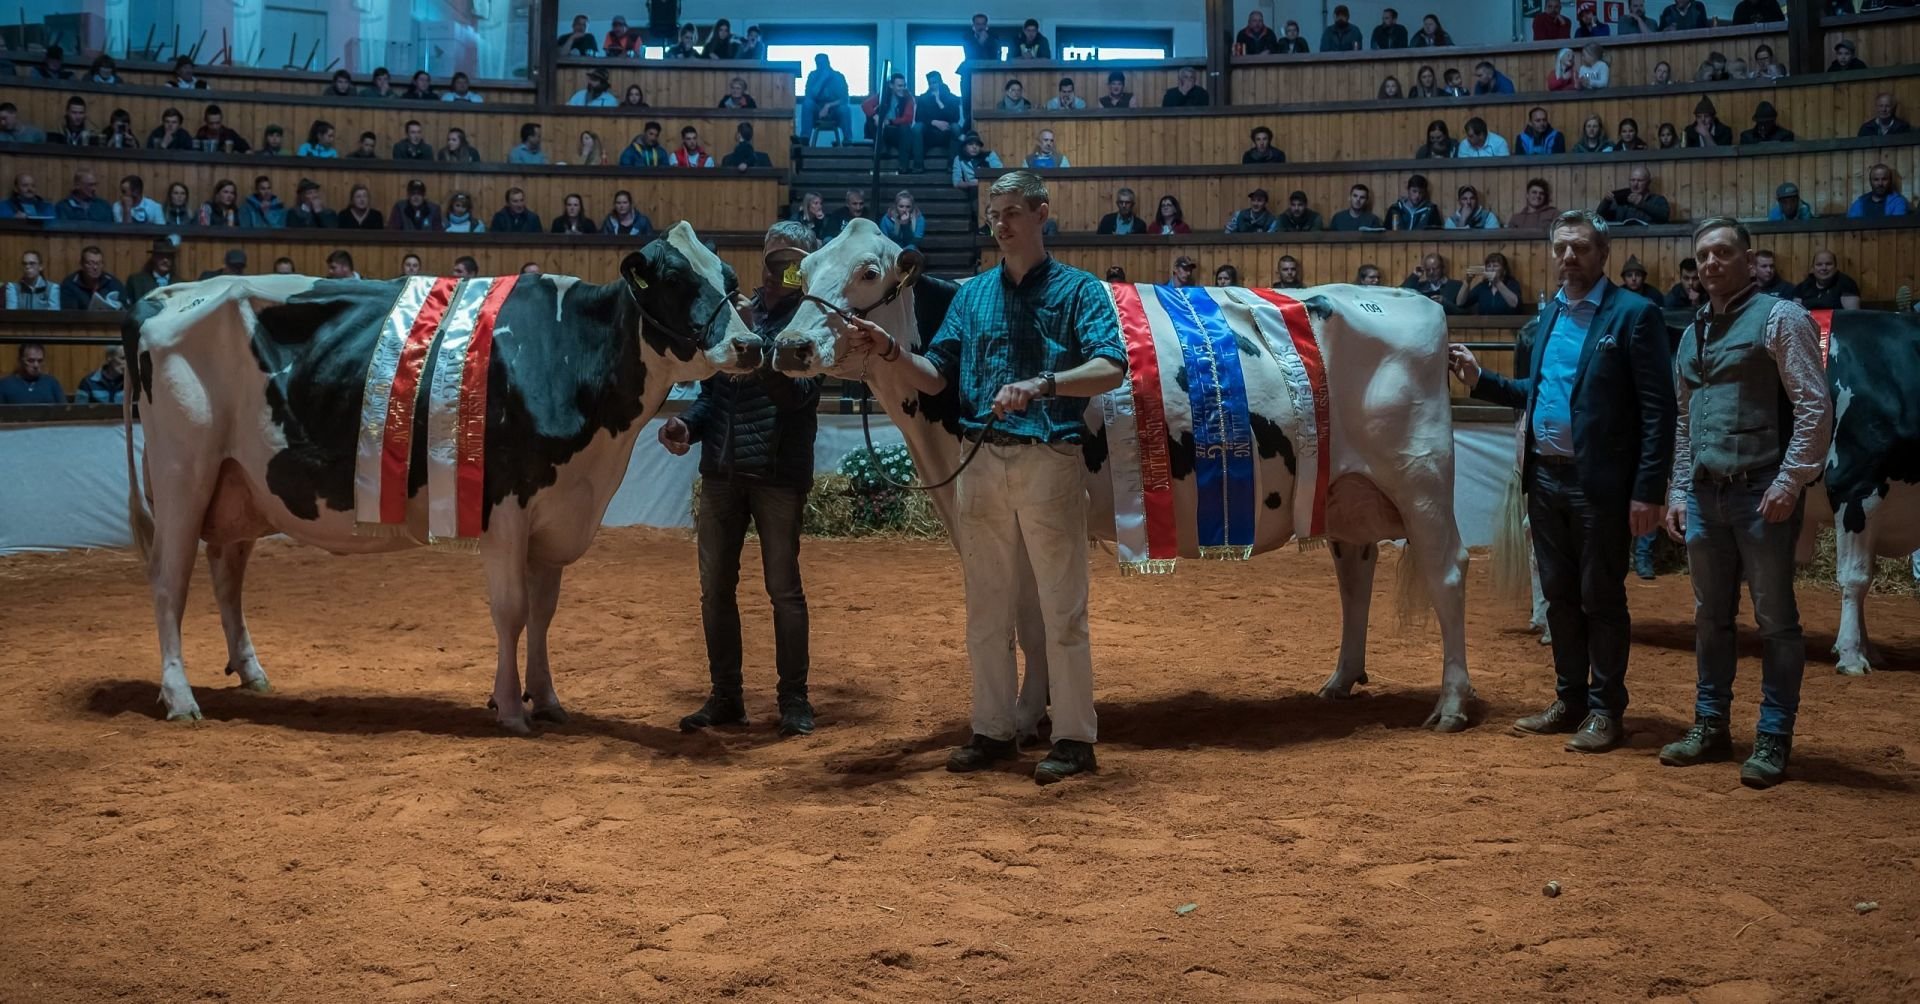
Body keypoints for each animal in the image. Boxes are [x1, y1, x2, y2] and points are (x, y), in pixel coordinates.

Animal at [124, 222, 762, 733]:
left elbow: (544, 611)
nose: (751, 345)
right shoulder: (505, 507)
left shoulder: (558, 510)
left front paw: (547, 699)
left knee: (226, 573)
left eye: (730, 277)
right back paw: (180, 699)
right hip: (183, 472)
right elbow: (512, 610)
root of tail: (166, 295)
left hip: (240, 481)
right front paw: (510, 709)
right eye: (675, 278)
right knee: (168, 580)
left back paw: (252, 673)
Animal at [770, 219, 1474, 733]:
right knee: (1356, 575)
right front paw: (1036, 709)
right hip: (1342, 492)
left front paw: (1027, 715)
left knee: (1447, 574)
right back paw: (1339, 682)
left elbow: (1033, 613)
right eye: (806, 269)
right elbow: (1025, 616)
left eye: (868, 272)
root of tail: (1416, 301)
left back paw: (1451, 705)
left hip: (1422, 479)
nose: (790, 347)